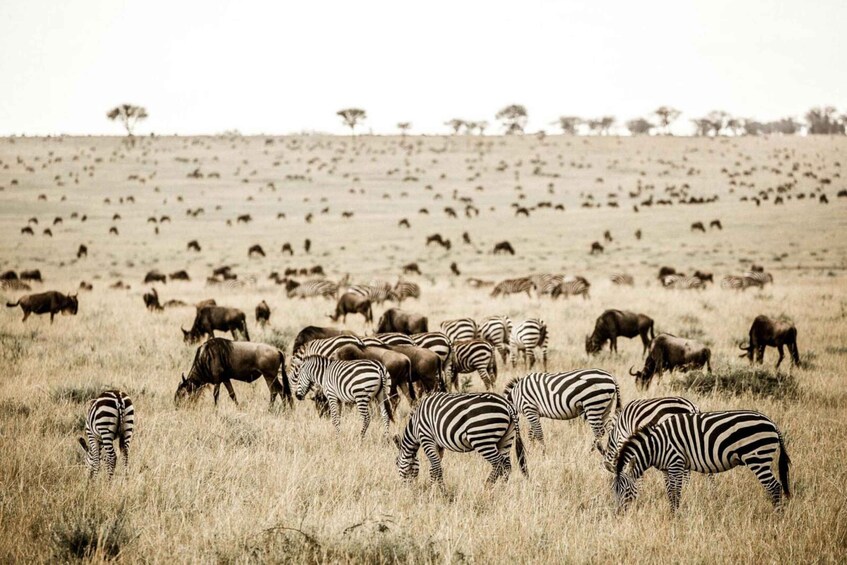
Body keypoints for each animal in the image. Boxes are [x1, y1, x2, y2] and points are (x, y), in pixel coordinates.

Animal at [393, 392, 528, 489]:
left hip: (482, 438)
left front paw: (440, 491)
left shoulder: (426, 437)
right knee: (507, 465)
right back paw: (501, 489)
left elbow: (436, 467)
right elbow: (434, 468)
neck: (415, 426)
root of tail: (507, 404)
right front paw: (434, 487)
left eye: (396, 463)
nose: (407, 489)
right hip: (506, 438)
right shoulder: (438, 444)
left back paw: (487, 486)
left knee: (498, 463)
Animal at [613, 411, 791, 513]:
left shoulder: (676, 463)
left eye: (626, 490)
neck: (656, 446)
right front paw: (672, 514)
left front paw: (675, 516)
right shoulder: (667, 468)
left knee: (774, 486)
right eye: (613, 491)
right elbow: (670, 492)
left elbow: (676, 492)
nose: (618, 514)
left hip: (757, 458)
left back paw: (778, 516)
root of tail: (772, 423)